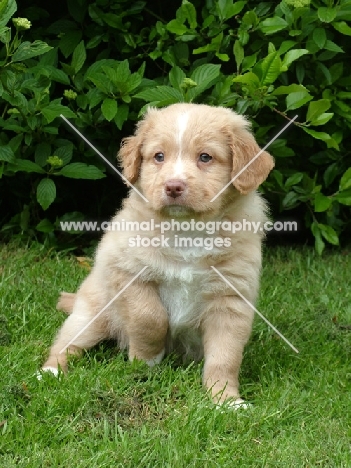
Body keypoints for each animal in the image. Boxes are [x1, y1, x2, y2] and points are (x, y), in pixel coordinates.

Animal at [42, 103, 276, 406]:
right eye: (159, 156)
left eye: (205, 157)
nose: (173, 186)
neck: (187, 230)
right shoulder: (127, 271)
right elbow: (150, 317)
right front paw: (146, 360)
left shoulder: (230, 297)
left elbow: (225, 355)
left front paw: (226, 400)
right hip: (91, 314)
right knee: (66, 343)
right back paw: (50, 372)